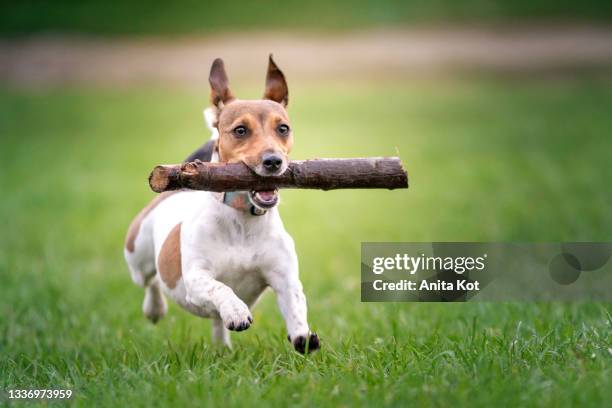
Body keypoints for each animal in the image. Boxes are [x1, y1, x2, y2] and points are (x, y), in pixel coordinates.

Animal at [126, 55, 322, 354]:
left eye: (283, 128)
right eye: (240, 130)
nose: (273, 161)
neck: (242, 219)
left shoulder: (284, 277)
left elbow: (295, 303)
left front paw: (302, 334)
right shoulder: (196, 279)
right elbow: (221, 288)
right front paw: (237, 311)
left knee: (216, 321)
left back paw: (222, 347)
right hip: (138, 254)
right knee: (151, 281)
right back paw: (155, 308)